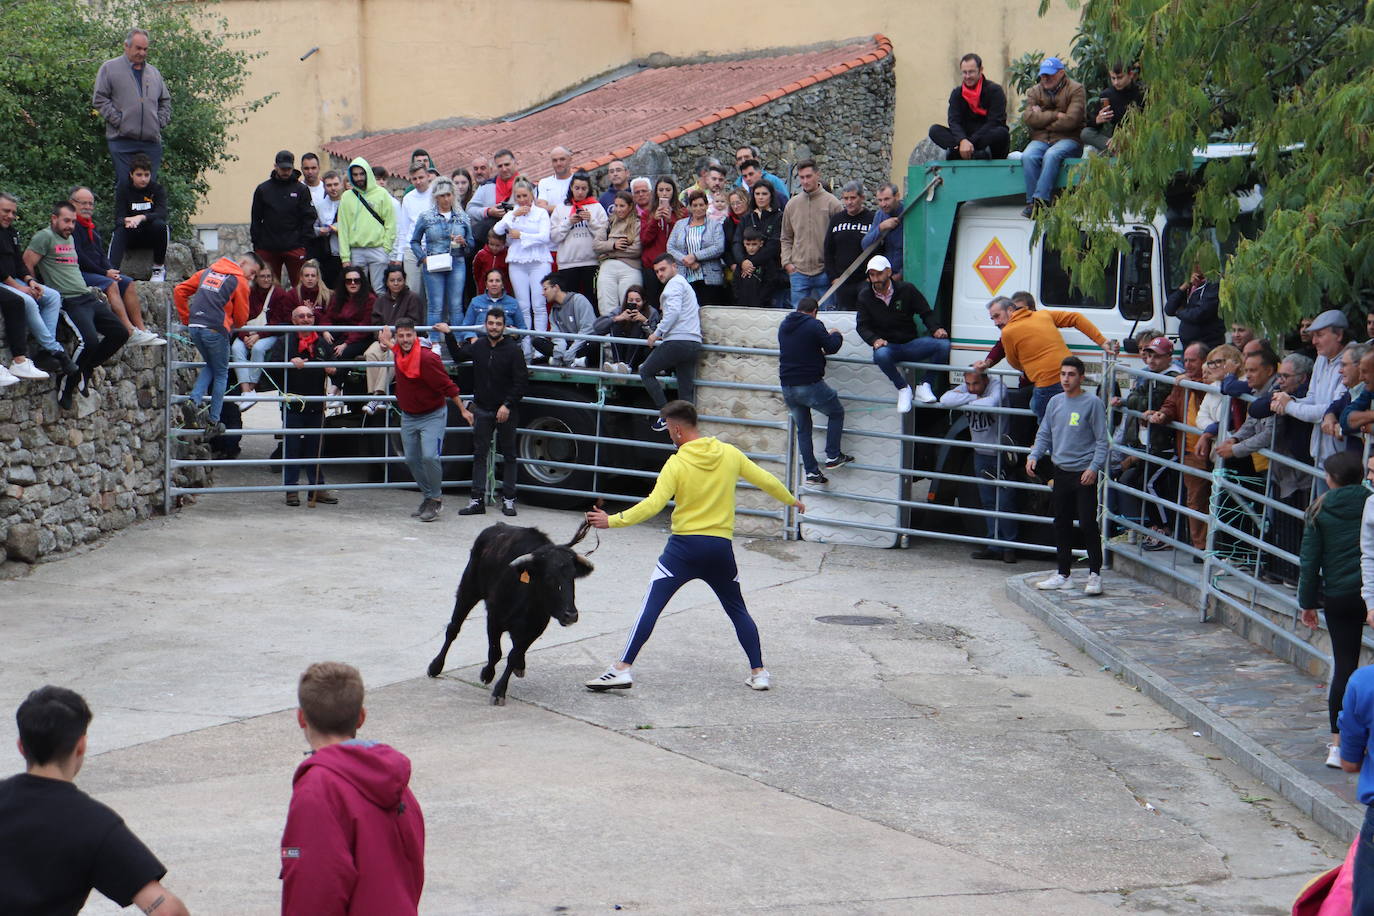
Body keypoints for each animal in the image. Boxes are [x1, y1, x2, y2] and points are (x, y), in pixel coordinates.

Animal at [423, 521, 596, 703]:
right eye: (549, 577)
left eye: (572, 578)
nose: (571, 615)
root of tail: (498, 525)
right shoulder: (494, 618)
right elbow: (495, 652)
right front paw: (487, 674)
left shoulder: (535, 628)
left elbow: (513, 655)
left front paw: (500, 689)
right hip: (468, 589)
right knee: (453, 628)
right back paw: (435, 666)